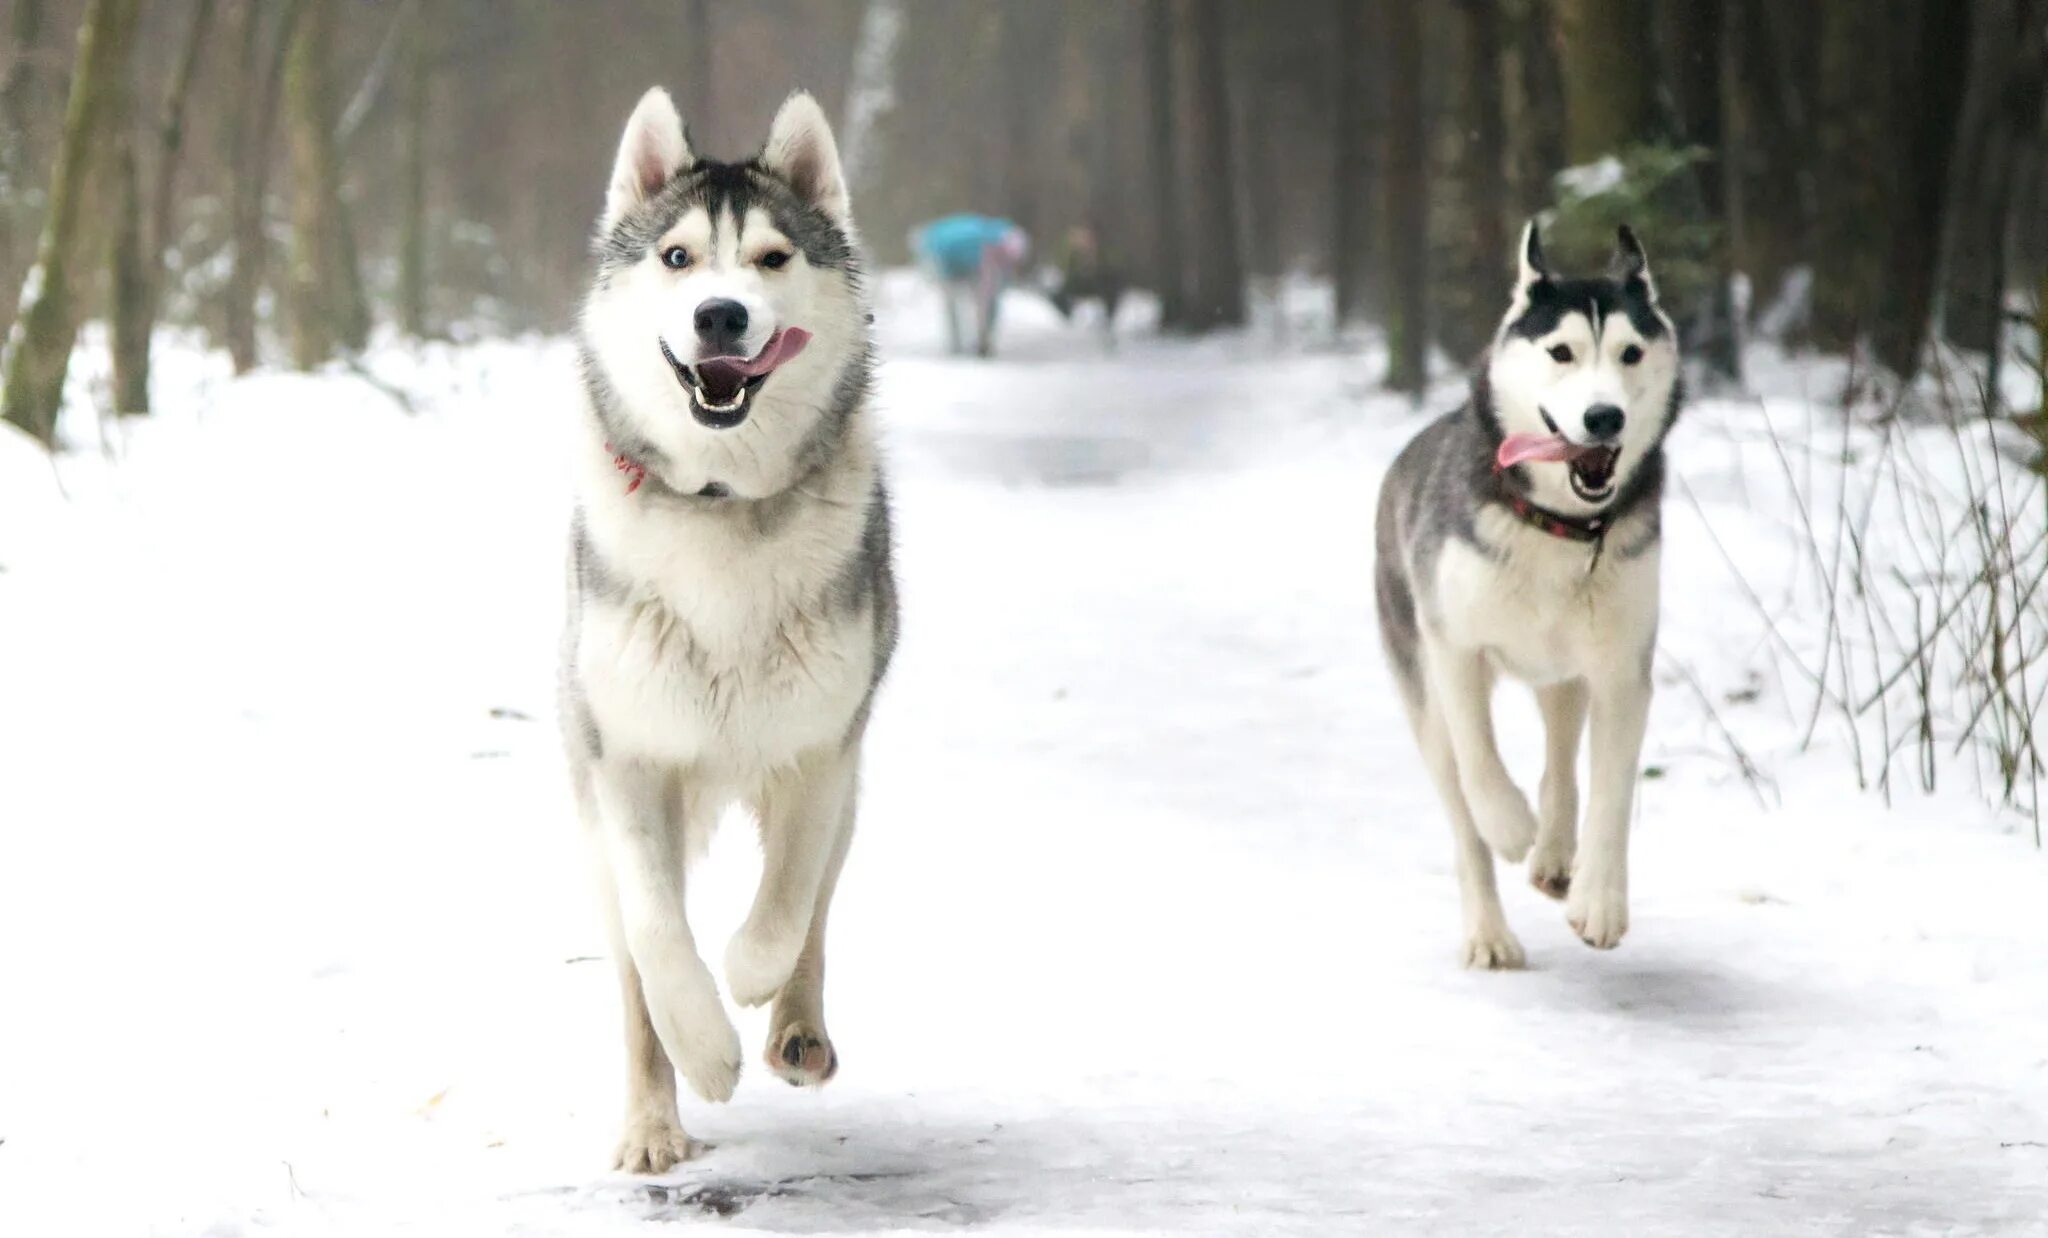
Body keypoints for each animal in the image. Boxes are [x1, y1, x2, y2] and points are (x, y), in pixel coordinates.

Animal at [565, 89, 892, 1172]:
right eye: (676, 258)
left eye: (771, 259)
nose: (720, 314)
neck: (720, 500)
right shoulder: (625, 758)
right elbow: (659, 934)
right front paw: (703, 1049)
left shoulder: (820, 750)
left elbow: (786, 904)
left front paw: (751, 979)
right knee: (632, 968)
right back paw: (651, 1123)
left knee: (819, 906)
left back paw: (796, 1028)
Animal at [1376, 224, 1679, 967]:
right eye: (1561, 352)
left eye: (1630, 352)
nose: (1604, 417)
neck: (1558, 528)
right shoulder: (1452, 645)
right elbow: (1479, 760)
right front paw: (1510, 823)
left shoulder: (1623, 667)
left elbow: (1610, 788)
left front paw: (1599, 899)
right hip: (1420, 681)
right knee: (1461, 811)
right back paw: (1490, 929)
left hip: (1565, 666)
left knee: (1562, 753)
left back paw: (1555, 852)